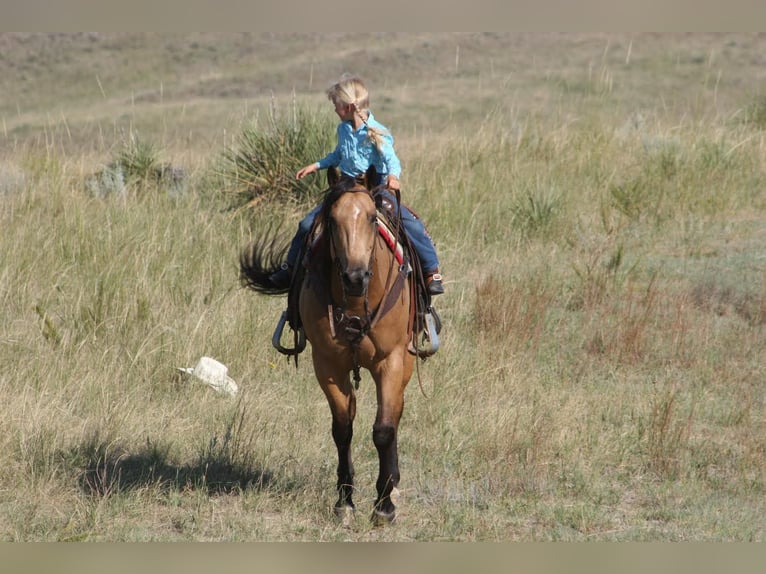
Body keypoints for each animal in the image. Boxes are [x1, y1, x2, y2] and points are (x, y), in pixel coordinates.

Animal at [240, 176, 425, 524]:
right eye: (333, 221)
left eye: (371, 218)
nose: (355, 277)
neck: (354, 303)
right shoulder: (327, 364)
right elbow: (343, 430)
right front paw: (345, 502)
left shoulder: (391, 361)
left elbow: (384, 429)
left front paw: (384, 506)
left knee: (395, 415)